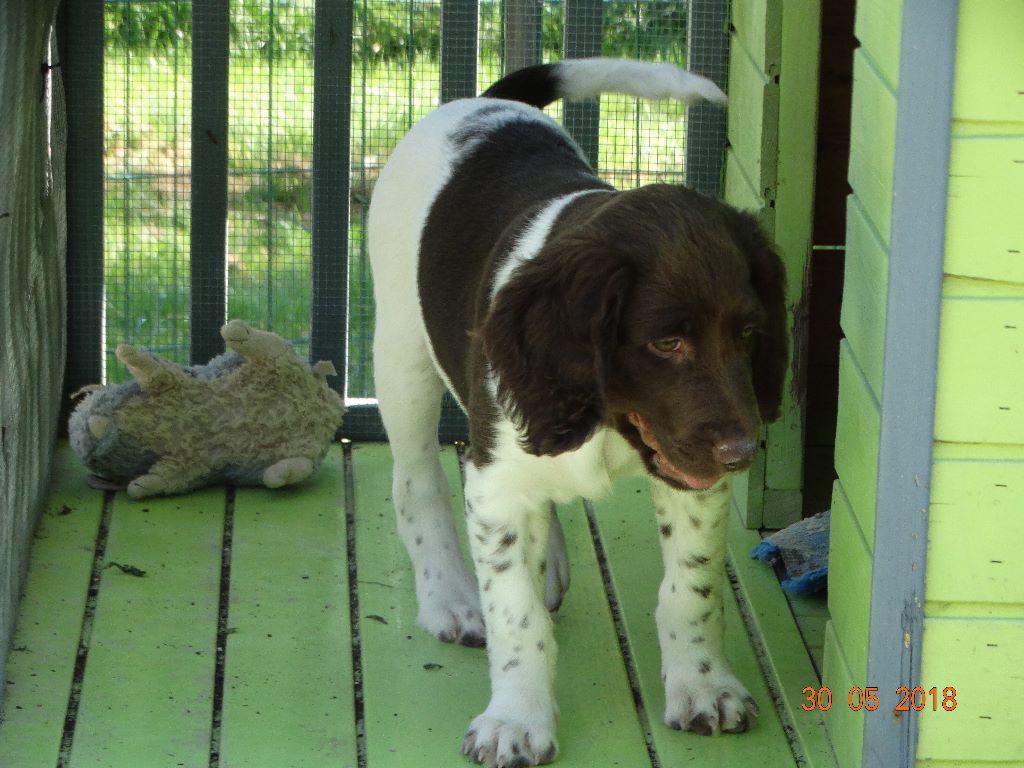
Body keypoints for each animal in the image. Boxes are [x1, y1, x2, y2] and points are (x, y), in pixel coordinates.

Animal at [368, 58, 788, 767]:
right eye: (667, 342)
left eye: (749, 335)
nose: (743, 454)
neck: (605, 418)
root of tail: (483, 102)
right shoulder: (497, 480)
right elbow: (517, 616)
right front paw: (516, 719)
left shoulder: (689, 479)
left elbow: (692, 590)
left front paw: (704, 687)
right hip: (401, 355)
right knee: (415, 480)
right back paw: (449, 596)